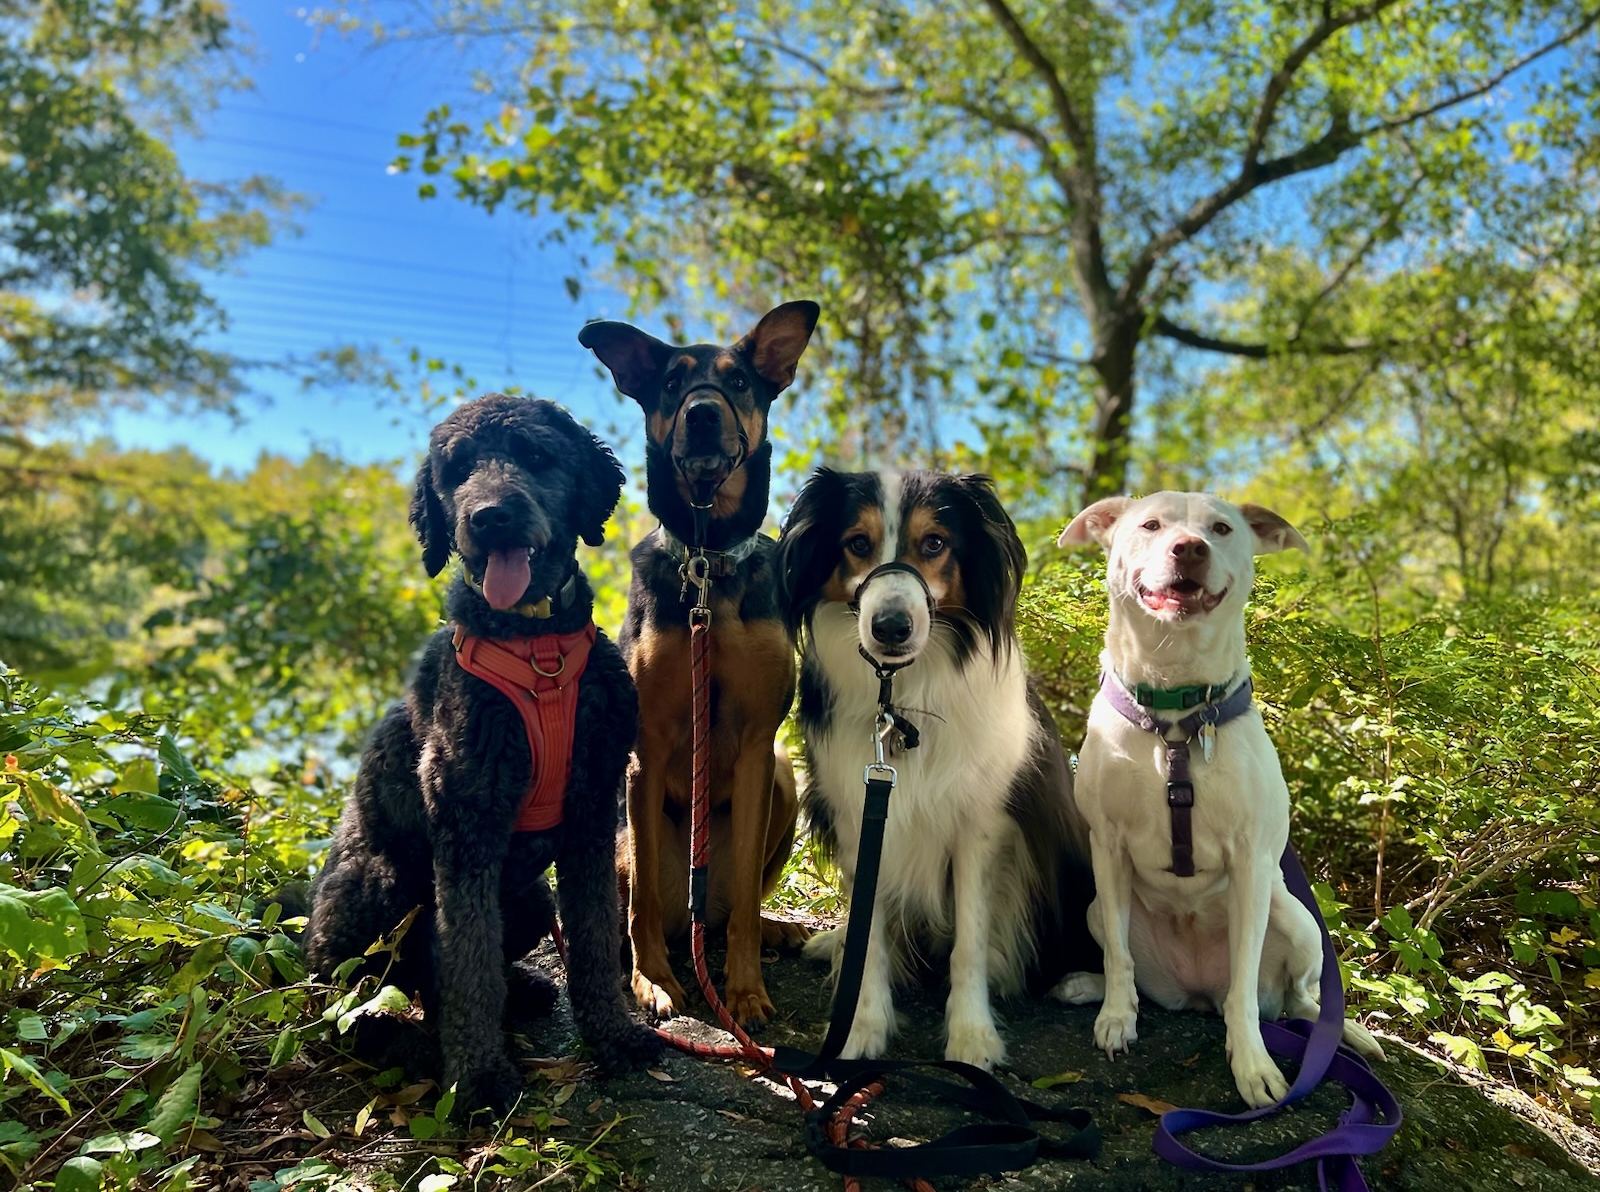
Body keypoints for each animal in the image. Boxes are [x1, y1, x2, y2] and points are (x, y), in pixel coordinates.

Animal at [305, 395, 656, 1113]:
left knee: (438, 975)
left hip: (531, 902)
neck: (534, 643)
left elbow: (595, 940)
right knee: (356, 997)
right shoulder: (467, 821)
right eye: (457, 469)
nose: (488, 516)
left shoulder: (591, 813)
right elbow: (466, 962)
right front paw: (478, 1078)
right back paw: (398, 1039)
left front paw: (611, 1037)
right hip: (380, 887)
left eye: (536, 455)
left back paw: (519, 990)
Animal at [774, 470, 1100, 1062]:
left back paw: (1080, 982)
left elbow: (969, 943)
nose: (891, 627)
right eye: (857, 543)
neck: (902, 701)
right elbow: (870, 934)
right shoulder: (860, 820)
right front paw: (860, 1027)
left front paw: (973, 1037)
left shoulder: (981, 829)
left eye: (934, 544)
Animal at [1056, 492, 1382, 1107]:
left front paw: (1252, 1064)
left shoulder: (1251, 862)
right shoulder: (1106, 846)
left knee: (1297, 999)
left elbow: (1245, 985)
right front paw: (1115, 1016)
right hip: (1095, 909)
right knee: (1132, 966)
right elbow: (1118, 955)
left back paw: (1340, 1031)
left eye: (1222, 528)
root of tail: (1196, 992)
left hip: (1298, 921)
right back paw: (1090, 986)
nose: (1189, 548)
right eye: (1150, 525)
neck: (1174, 710)